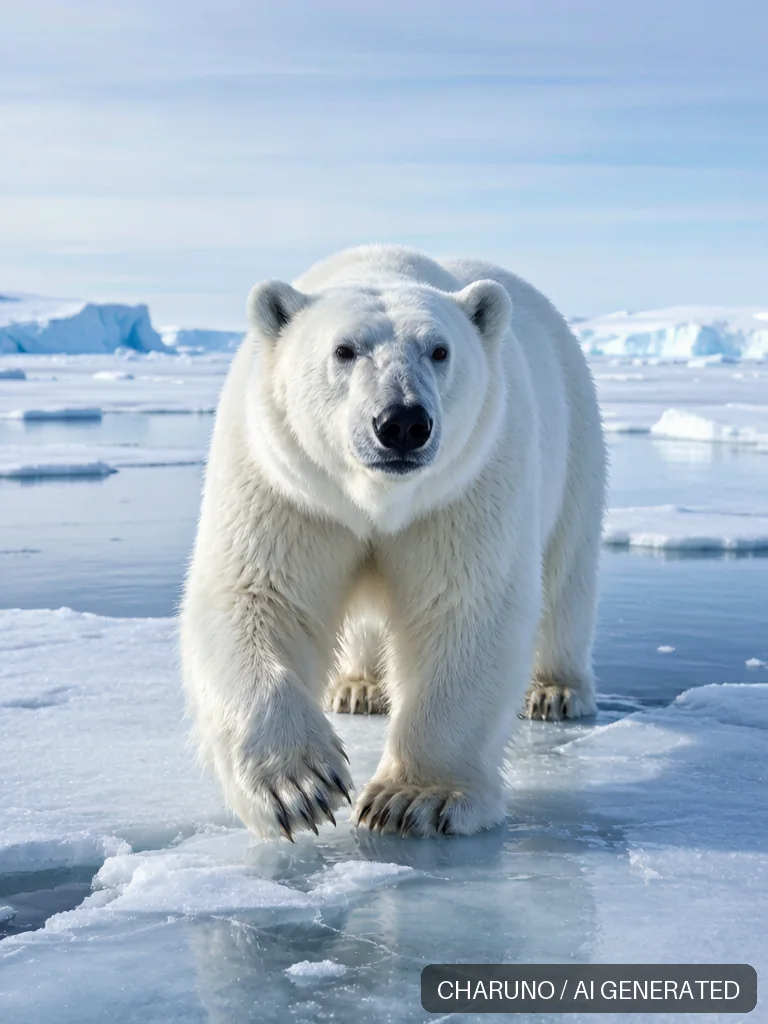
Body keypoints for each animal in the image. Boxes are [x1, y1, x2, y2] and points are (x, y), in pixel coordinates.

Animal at [180, 244, 606, 841]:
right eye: (343, 349)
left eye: (440, 350)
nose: (402, 421)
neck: (377, 498)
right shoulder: (286, 485)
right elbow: (257, 596)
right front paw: (299, 786)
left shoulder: (466, 487)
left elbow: (465, 609)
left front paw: (413, 799)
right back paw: (358, 687)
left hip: (575, 443)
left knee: (567, 572)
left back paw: (555, 691)